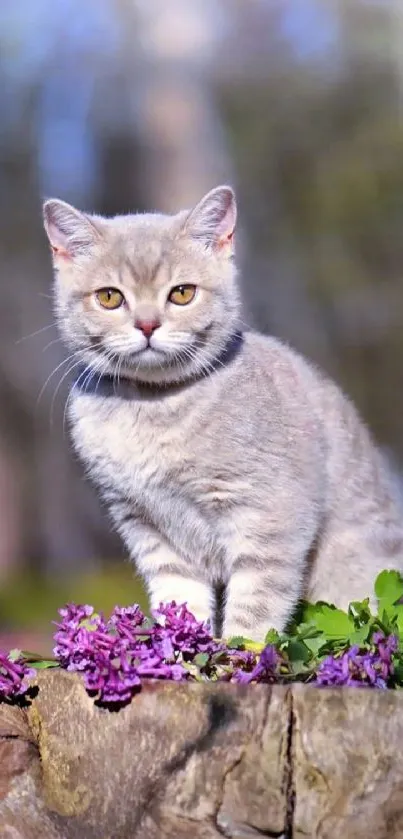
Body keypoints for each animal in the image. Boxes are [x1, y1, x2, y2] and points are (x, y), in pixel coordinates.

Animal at [41, 187, 403, 640]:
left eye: (182, 293)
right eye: (109, 297)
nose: (147, 325)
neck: (152, 408)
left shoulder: (270, 516)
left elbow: (255, 606)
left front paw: (235, 651)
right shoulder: (146, 526)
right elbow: (179, 598)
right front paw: (181, 647)